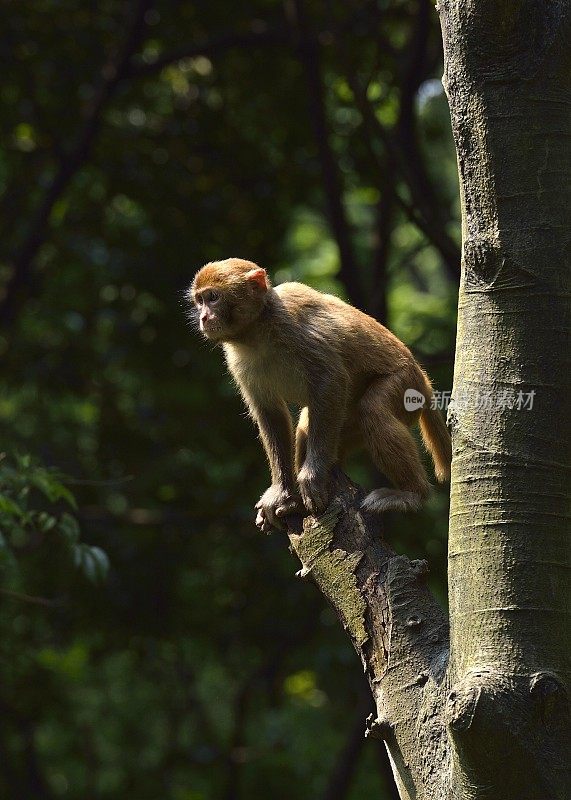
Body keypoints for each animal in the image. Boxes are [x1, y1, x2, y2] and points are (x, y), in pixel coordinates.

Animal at [189, 256, 452, 532]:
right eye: (200, 300)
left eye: (213, 297)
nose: (204, 317)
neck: (257, 331)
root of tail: (421, 375)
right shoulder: (237, 361)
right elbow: (270, 412)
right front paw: (281, 492)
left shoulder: (292, 327)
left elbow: (331, 380)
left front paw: (312, 477)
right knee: (309, 427)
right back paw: (298, 501)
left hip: (405, 385)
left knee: (373, 409)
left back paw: (411, 494)